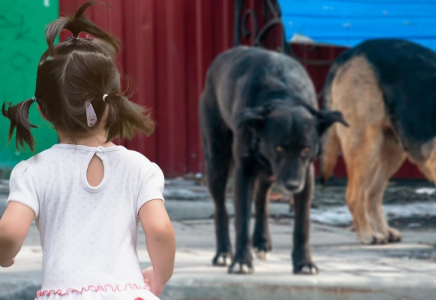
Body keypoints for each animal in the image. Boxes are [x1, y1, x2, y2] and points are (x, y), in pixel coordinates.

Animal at [199, 47, 346, 274]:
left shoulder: (306, 175)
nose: (292, 186)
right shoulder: (244, 171)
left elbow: (302, 226)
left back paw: (261, 241)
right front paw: (241, 261)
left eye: (306, 149)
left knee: (261, 198)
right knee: (221, 209)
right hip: (217, 159)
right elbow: (242, 221)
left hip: (269, 173)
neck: (283, 96)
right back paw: (223, 252)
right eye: (279, 148)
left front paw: (304, 262)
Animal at [320, 38, 436, 244]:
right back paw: (368, 234)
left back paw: (383, 230)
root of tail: (350, 52)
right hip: (366, 145)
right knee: (355, 196)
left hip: (393, 151)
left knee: (371, 194)